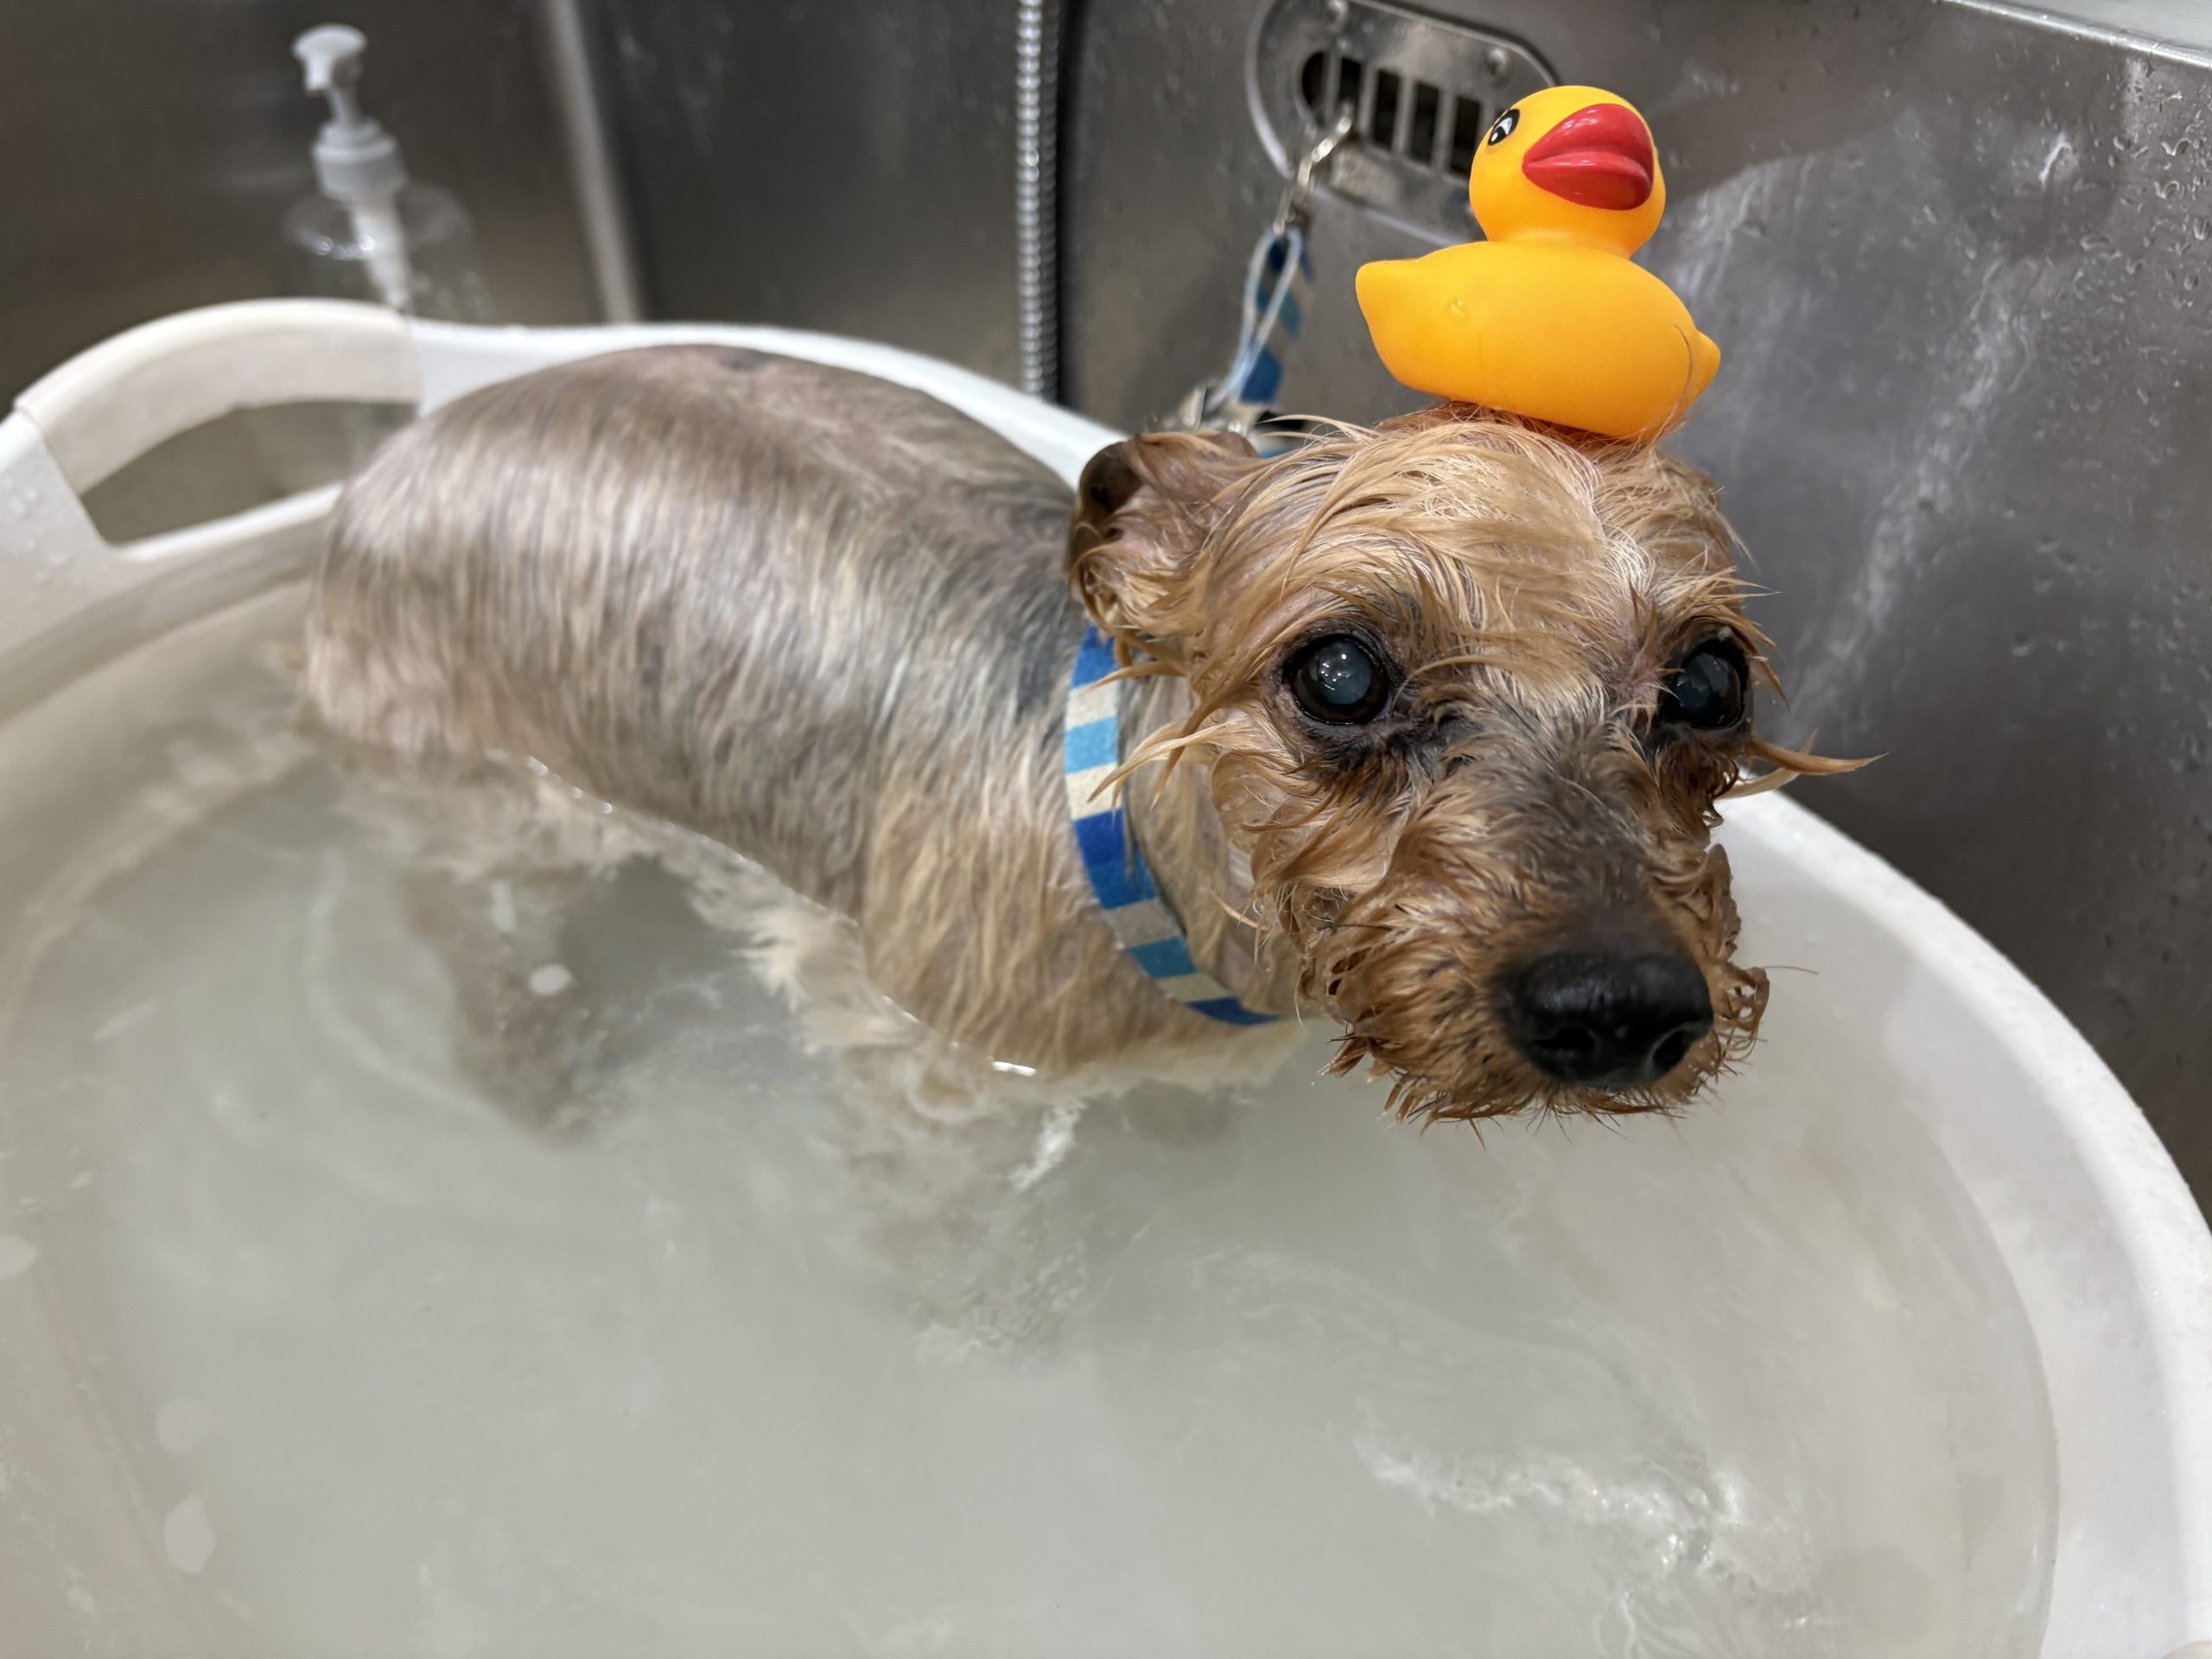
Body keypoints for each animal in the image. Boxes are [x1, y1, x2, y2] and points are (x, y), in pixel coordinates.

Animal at [305, 344, 1847, 1123]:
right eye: (1341, 674)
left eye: (1711, 682)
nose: (1620, 1006)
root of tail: (385, 462)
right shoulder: (933, 1078)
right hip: (476, 797)